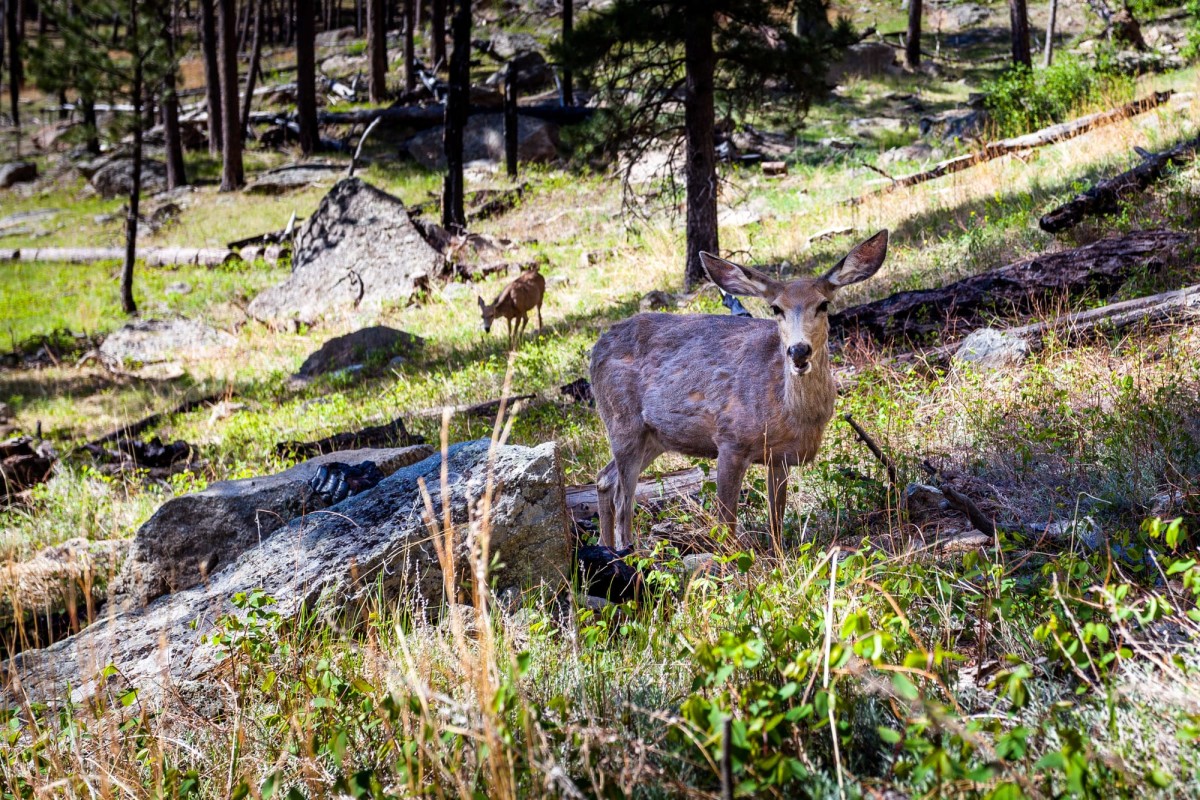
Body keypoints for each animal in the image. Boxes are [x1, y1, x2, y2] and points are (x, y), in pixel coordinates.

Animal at [590, 227, 892, 546]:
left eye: (823, 304)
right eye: (776, 308)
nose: (799, 351)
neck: (789, 411)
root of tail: (595, 349)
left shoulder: (780, 458)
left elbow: (776, 521)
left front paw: (778, 555)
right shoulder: (729, 440)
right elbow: (726, 526)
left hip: (652, 436)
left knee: (604, 479)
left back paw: (608, 551)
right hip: (623, 422)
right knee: (624, 501)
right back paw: (625, 552)